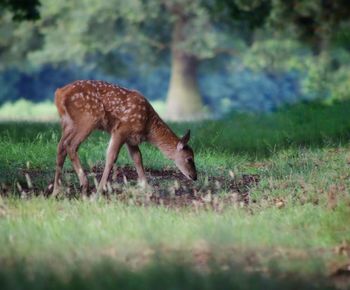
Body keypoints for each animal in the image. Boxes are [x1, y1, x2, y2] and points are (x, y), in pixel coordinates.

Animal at [53, 80, 198, 196]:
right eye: (189, 159)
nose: (195, 176)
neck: (148, 126)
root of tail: (59, 93)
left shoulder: (131, 139)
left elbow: (138, 158)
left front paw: (147, 188)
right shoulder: (121, 129)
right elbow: (111, 157)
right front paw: (100, 190)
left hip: (67, 124)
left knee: (61, 146)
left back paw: (56, 191)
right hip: (87, 119)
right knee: (71, 145)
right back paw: (84, 185)